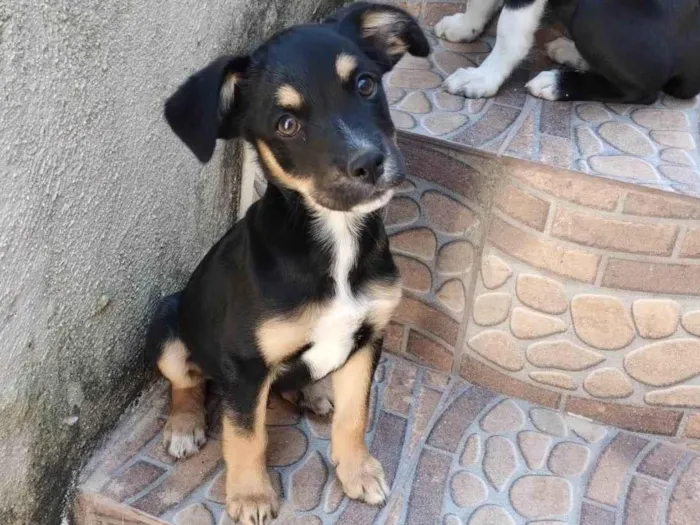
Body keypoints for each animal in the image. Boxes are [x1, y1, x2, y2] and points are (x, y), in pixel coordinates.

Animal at [148, 4, 430, 524]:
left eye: (365, 85)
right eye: (286, 124)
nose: (369, 163)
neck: (335, 241)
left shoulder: (367, 339)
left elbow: (355, 414)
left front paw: (358, 471)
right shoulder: (245, 366)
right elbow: (246, 436)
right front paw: (251, 496)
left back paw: (313, 392)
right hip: (167, 326)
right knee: (187, 381)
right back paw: (183, 424)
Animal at [434, 0, 696, 102]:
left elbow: (510, 30)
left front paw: (483, 77)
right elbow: (478, 3)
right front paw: (465, 26)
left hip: (592, 13)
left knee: (643, 92)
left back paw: (557, 84)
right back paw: (573, 54)